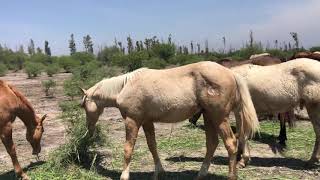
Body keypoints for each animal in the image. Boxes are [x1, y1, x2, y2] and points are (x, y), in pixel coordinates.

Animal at [80, 61, 260, 179]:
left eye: (83, 105)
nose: (89, 128)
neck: (125, 87)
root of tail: (231, 73)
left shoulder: (132, 121)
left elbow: (128, 149)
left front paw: (124, 175)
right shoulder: (147, 122)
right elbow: (152, 146)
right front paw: (159, 172)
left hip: (219, 117)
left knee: (231, 143)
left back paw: (231, 175)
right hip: (209, 116)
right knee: (212, 144)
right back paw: (201, 174)